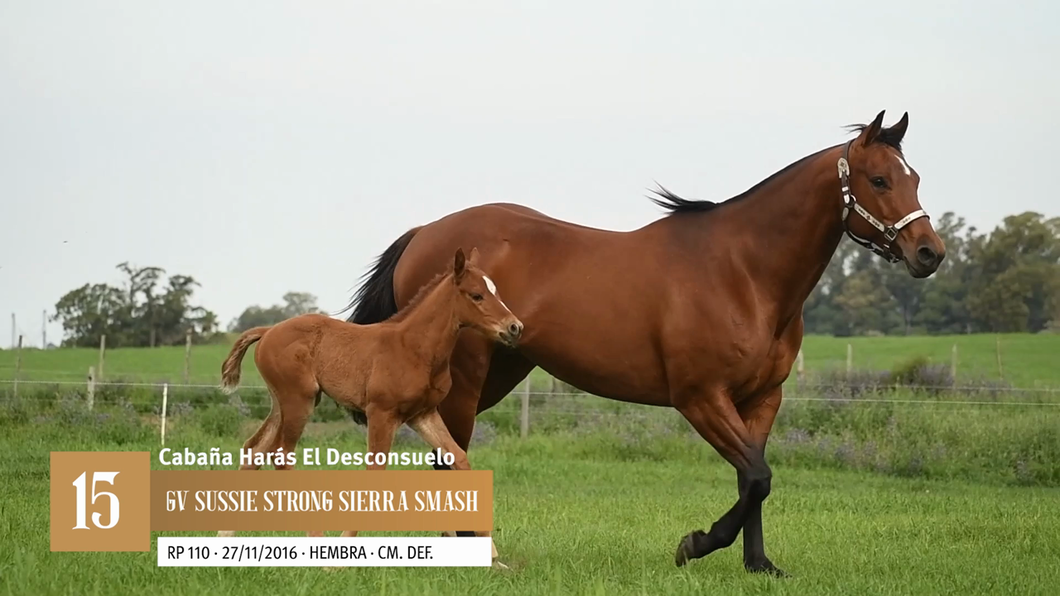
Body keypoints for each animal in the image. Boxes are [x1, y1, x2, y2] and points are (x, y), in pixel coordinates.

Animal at [211, 243, 521, 559]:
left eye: (496, 291)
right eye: (477, 295)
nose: (514, 327)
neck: (414, 348)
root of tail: (267, 331)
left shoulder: (423, 414)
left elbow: (458, 457)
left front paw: (492, 554)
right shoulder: (381, 413)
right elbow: (375, 470)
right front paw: (343, 551)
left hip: (281, 402)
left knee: (254, 449)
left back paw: (224, 538)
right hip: (299, 400)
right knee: (282, 456)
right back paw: (320, 546)